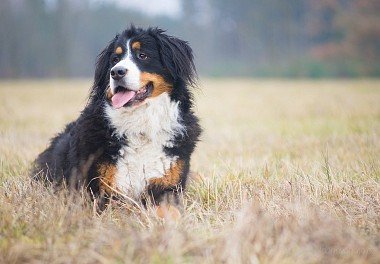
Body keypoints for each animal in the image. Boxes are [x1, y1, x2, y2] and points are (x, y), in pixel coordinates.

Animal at [32, 25, 202, 214]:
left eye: (142, 55)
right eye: (115, 59)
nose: (116, 72)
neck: (140, 127)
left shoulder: (167, 187)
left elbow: (171, 212)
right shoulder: (101, 191)